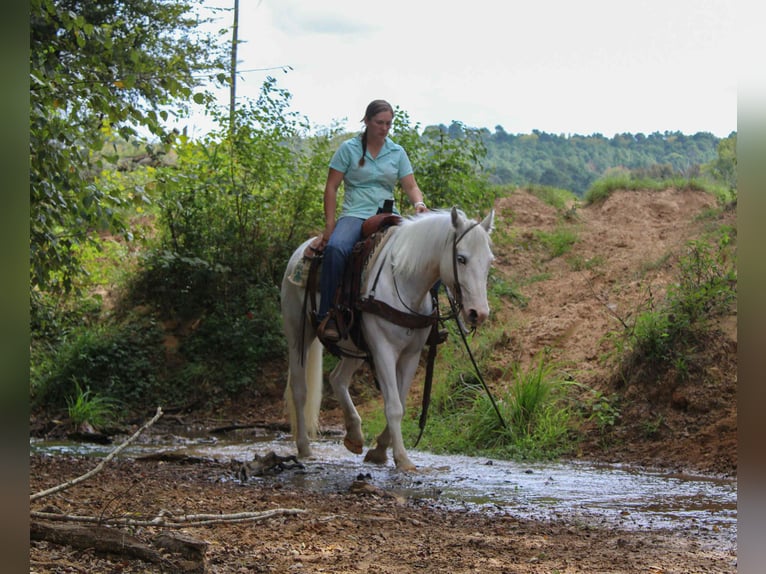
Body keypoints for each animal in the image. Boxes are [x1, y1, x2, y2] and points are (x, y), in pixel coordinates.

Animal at [280, 207, 495, 471]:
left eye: (489, 261)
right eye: (461, 258)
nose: (478, 313)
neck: (404, 282)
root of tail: (303, 248)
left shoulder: (411, 354)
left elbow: (400, 401)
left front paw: (380, 449)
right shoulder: (383, 350)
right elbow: (393, 406)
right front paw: (402, 458)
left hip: (356, 345)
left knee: (337, 378)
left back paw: (354, 435)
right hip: (298, 335)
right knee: (300, 389)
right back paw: (304, 447)